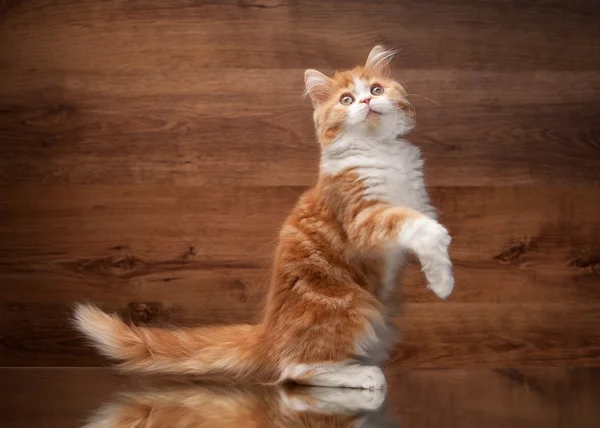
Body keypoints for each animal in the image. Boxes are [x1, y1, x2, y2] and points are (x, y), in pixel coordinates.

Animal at [72, 46, 452, 392]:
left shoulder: (416, 202)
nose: (366, 102)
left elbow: (426, 234)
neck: (381, 153)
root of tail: (269, 333)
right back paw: (361, 375)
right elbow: (423, 228)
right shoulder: (361, 217)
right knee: (296, 368)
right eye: (346, 99)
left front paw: (440, 278)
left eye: (376, 89)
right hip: (351, 307)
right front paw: (445, 281)